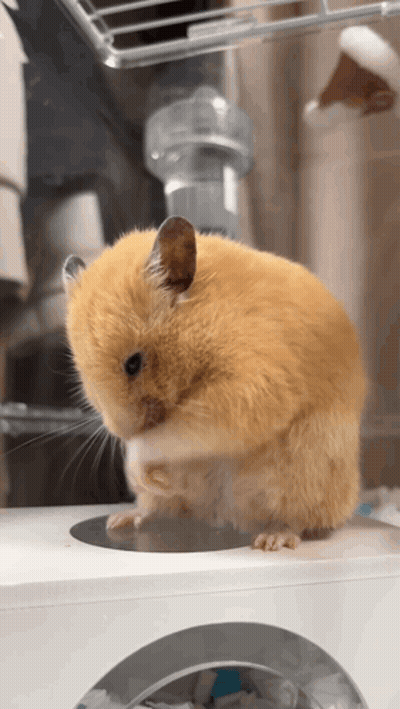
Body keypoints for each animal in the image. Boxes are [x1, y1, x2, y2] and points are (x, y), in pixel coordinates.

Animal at [63, 216, 366, 551]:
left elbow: (162, 438)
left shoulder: (246, 388)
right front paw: (151, 477)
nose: (122, 432)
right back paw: (122, 519)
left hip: (301, 472)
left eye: (134, 363)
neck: (200, 320)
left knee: (297, 519)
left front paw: (140, 466)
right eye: (81, 370)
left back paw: (271, 539)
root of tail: (222, 517)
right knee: (162, 507)